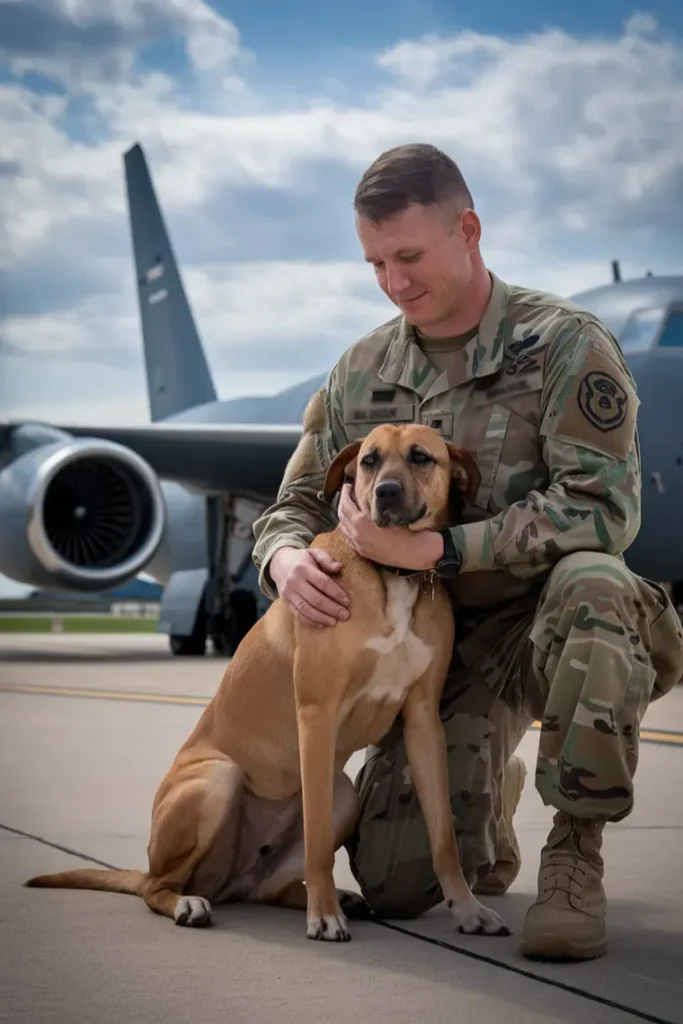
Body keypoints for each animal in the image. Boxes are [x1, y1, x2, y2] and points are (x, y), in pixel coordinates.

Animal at [25, 421, 507, 942]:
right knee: (158, 885)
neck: (391, 575)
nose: (387, 492)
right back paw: (193, 903)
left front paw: (468, 908)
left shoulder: (422, 720)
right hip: (220, 780)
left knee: (267, 889)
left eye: (421, 457)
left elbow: (444, 837)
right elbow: (317, 843)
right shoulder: (316, 715)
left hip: (342, 796)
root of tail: (228, 881)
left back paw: (334, 897)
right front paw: (323, 916)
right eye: (369, 461)